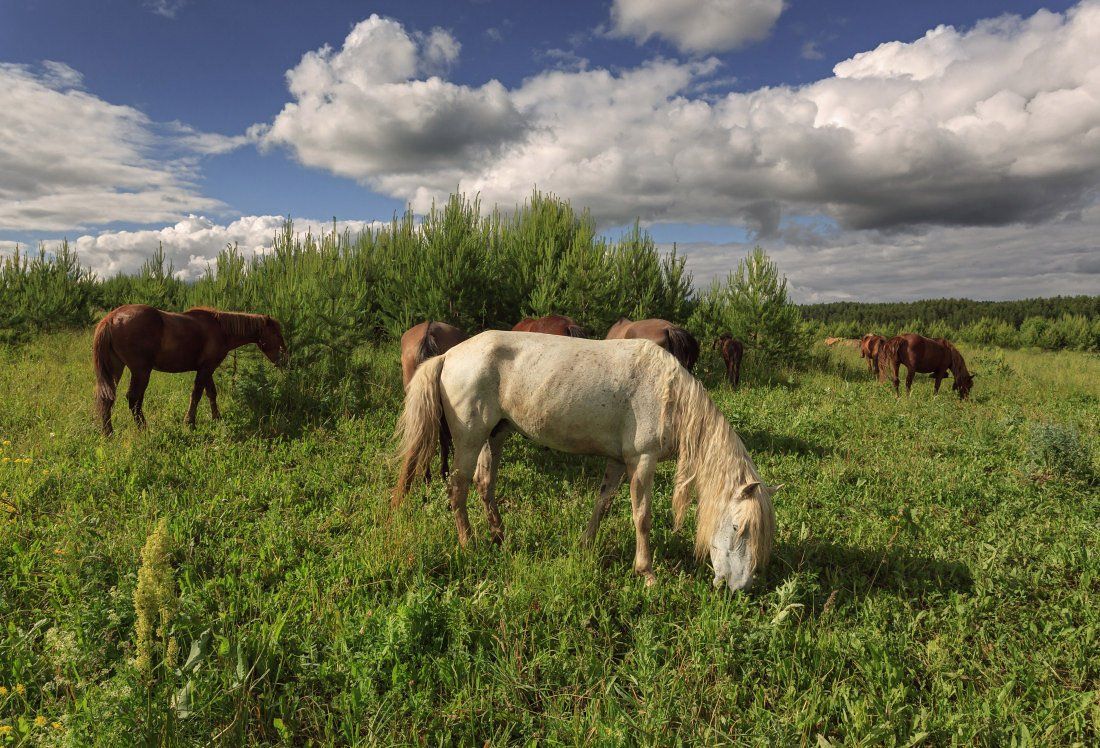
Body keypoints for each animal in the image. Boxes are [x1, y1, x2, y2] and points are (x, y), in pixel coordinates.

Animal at [92, 301, 286, 435]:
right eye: (276, 334)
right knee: (133, 399)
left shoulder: (207, 368)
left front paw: (217, 418)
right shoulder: (206, 368)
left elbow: (211, 393)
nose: (285, 359)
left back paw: (109, 433)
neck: (221, 329)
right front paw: (190, 422)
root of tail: (111, 318)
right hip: (141, 371)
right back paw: (144, 429)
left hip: (115, 368)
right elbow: (197, 394)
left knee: (108, 398)